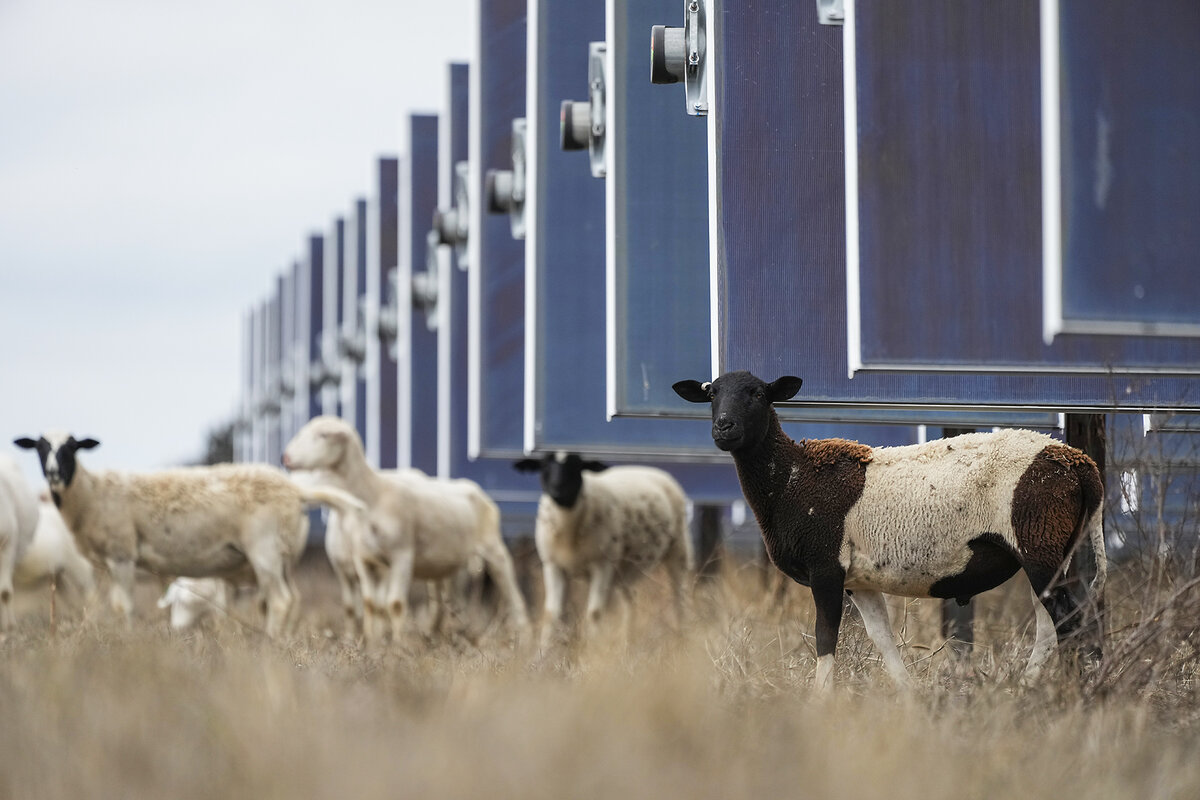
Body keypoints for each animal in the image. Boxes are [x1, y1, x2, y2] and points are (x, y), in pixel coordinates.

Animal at [14, 431, 366, 639]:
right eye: (40, 448)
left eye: (70, 448)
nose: (53, 473)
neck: (92, 492)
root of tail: (295, 491)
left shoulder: (122, 554)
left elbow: (122, 605)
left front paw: (125, 639)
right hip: (284, 557)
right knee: (291, 599)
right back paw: (282, 639)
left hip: (264, 550)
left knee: (281, 600)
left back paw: (270, 643)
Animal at [282, 416, 530, 642]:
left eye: (323, 435)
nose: (285, 457)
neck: (372, 495)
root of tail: (474, 487)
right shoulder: (364, 560)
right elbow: (370, 604)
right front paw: (371, 644)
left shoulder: (401, 556)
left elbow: (394, 604)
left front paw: (397, 646)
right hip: (446, 565)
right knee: (446, 602)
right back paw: (440, 634)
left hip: (493, 548)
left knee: (511, 592)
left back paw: (522, 636)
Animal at [512, 453, 694, 647]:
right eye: (544, 466)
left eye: (576, 467)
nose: (558, 489)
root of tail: (654, 470)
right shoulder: (553, 566)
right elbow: (552, 613)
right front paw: (543, 651)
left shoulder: (602, 565)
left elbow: (595, 612)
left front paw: (591, 648)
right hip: (625, 570)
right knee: (630, 601)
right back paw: (627, 643)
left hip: (678, 550)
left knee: (679, 598)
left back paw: (682, 636)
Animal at [673, 370, 1106, 688]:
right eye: (711, 394)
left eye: (757, 394)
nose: (723, 427)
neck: (792, 478)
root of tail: (1079, 462)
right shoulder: (859, 581)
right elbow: (882, 640)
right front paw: (908, 698)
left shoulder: (826, 568)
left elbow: (825, 636)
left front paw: (819, 702)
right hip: (1053, 550)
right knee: (1051, 622)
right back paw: (1031, 687)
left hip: (1039, 542)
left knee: (1068, 620)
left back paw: (1071, 692)